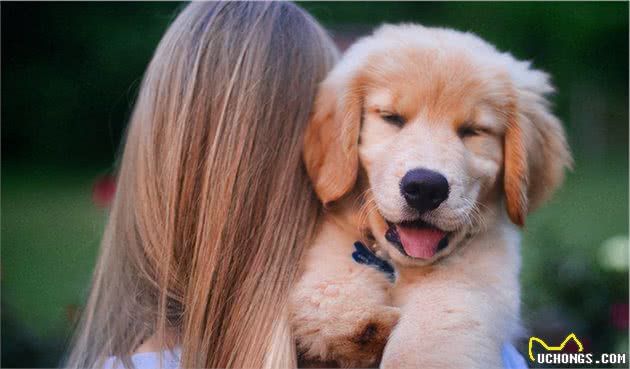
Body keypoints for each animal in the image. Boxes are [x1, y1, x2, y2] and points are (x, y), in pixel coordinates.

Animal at [290, 23, 572, 368]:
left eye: (473, 130)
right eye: (391, 117)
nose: (425, 187)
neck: (400, 269)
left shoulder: (473, 277)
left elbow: (435, 327)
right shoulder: (335, 247)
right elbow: (330, 288)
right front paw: (361, 323)